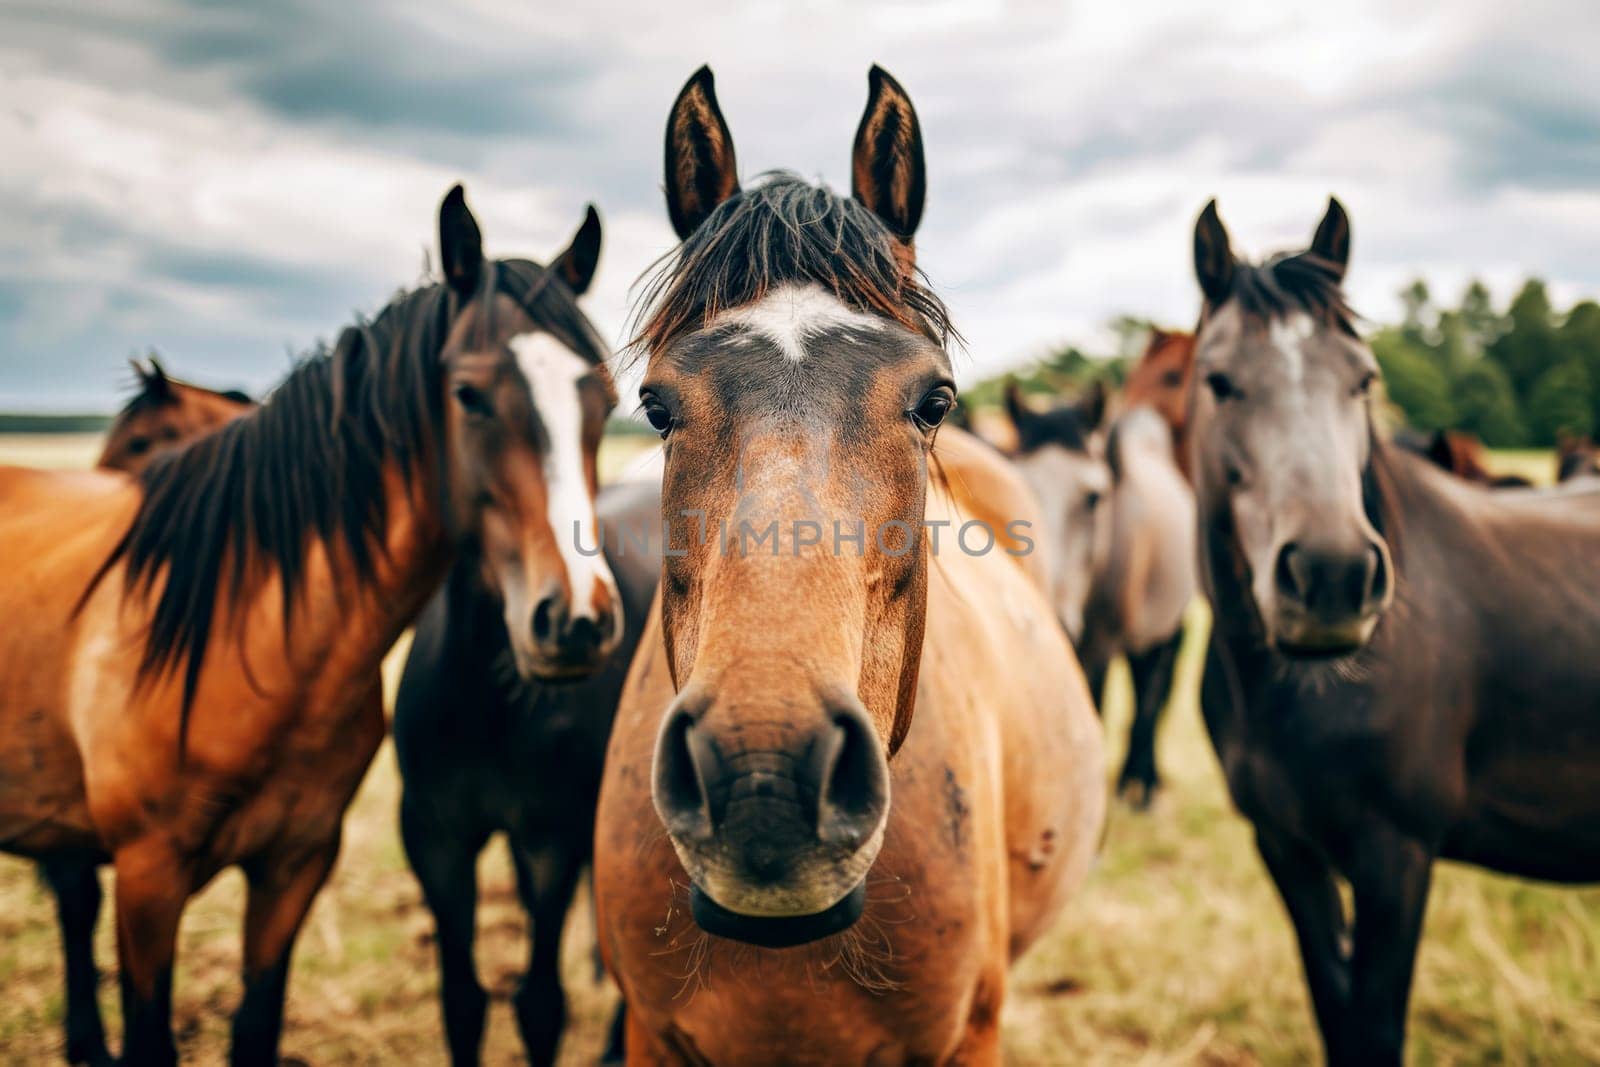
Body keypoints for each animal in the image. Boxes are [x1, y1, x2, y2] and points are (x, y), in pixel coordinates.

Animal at [0, 185, 617, 1067]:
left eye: (606, 399)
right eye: (468, 394)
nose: (576, 619)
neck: (254, 645)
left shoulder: (294, 866)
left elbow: (256, 1027)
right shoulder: (150, 877)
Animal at [1184, 195, 1600, 1062]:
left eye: (1363, 379)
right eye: (1220, 381)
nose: (1333, 576)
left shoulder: (1396, 858)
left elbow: (1374, 1028)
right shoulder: (1288, 851)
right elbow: (1336, 1014)